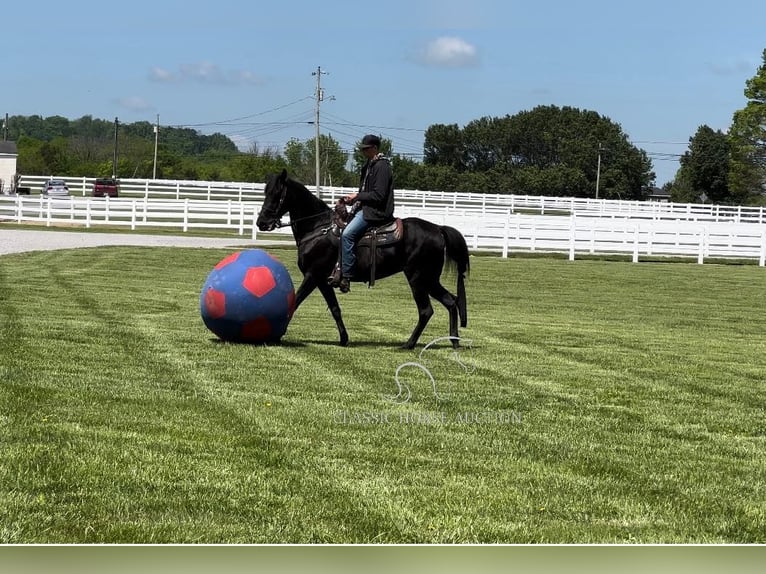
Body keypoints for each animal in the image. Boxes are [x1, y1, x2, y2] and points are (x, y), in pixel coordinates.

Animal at [256, 170, 468, 352]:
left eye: (276, 194)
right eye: (265, 192)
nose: (261, 222)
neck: (317, 228)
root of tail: (438, 229)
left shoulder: (312, 275)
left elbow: (295, 302)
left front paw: (278, 335)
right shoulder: (323, 280)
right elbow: (335, 308)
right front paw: (344, 339)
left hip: (418, 278)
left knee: (426, 310)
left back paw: (409, 344)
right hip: (429, 279)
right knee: (451, 301)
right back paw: (454, 341)